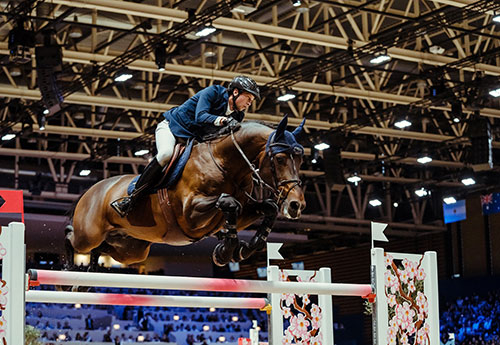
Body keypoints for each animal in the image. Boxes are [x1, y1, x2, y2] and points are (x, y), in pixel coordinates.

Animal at [62, 115, 304, 268]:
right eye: (280, 159)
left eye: (301, 160)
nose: (296, 205)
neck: (224, 163)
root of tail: (90, 191)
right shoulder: (190, 214)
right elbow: (228, 202)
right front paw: (226, 251)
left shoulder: (245, 210)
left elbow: (268, 208)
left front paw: (243, 248)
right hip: (89, 234)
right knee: (72, 236)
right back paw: (69, 269)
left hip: (132, 249)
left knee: (103, 249)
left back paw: (87, 276)